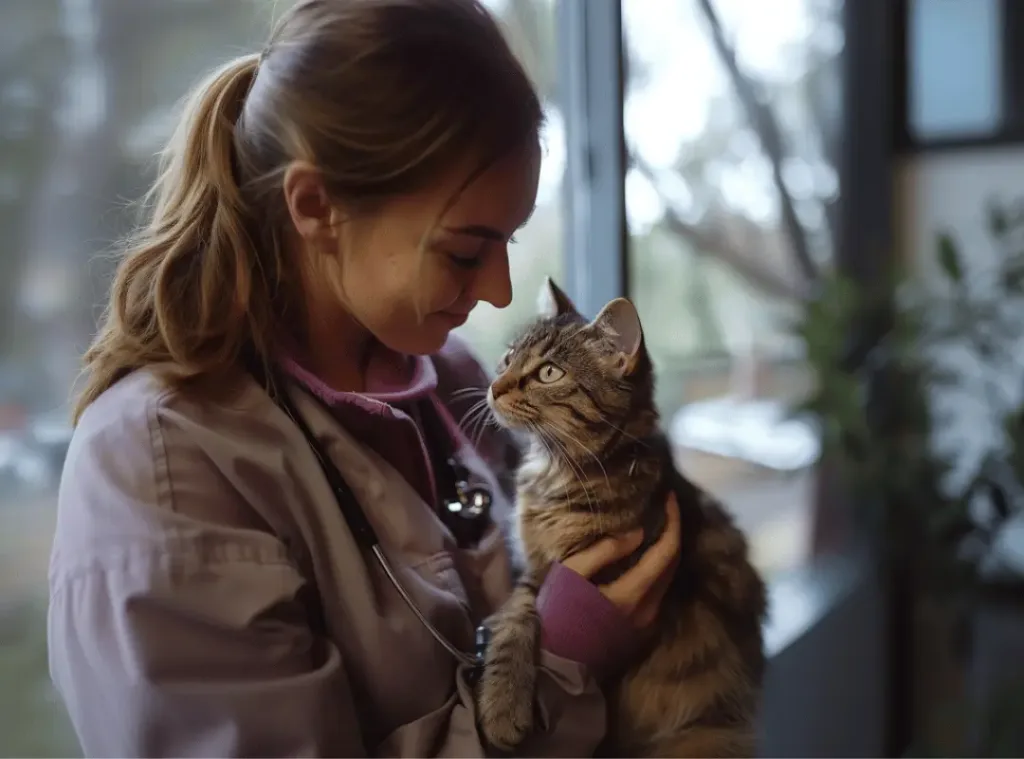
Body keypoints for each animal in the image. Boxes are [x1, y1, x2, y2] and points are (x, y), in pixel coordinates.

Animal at [475, 278, 765, 757]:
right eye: (508, 357)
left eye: (549, 373)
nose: (495, 385)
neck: (555, 469)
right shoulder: (538, 569)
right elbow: (516, 617)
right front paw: (502, 699)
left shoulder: (585, 565)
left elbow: (529, 613)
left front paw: (501, 708)